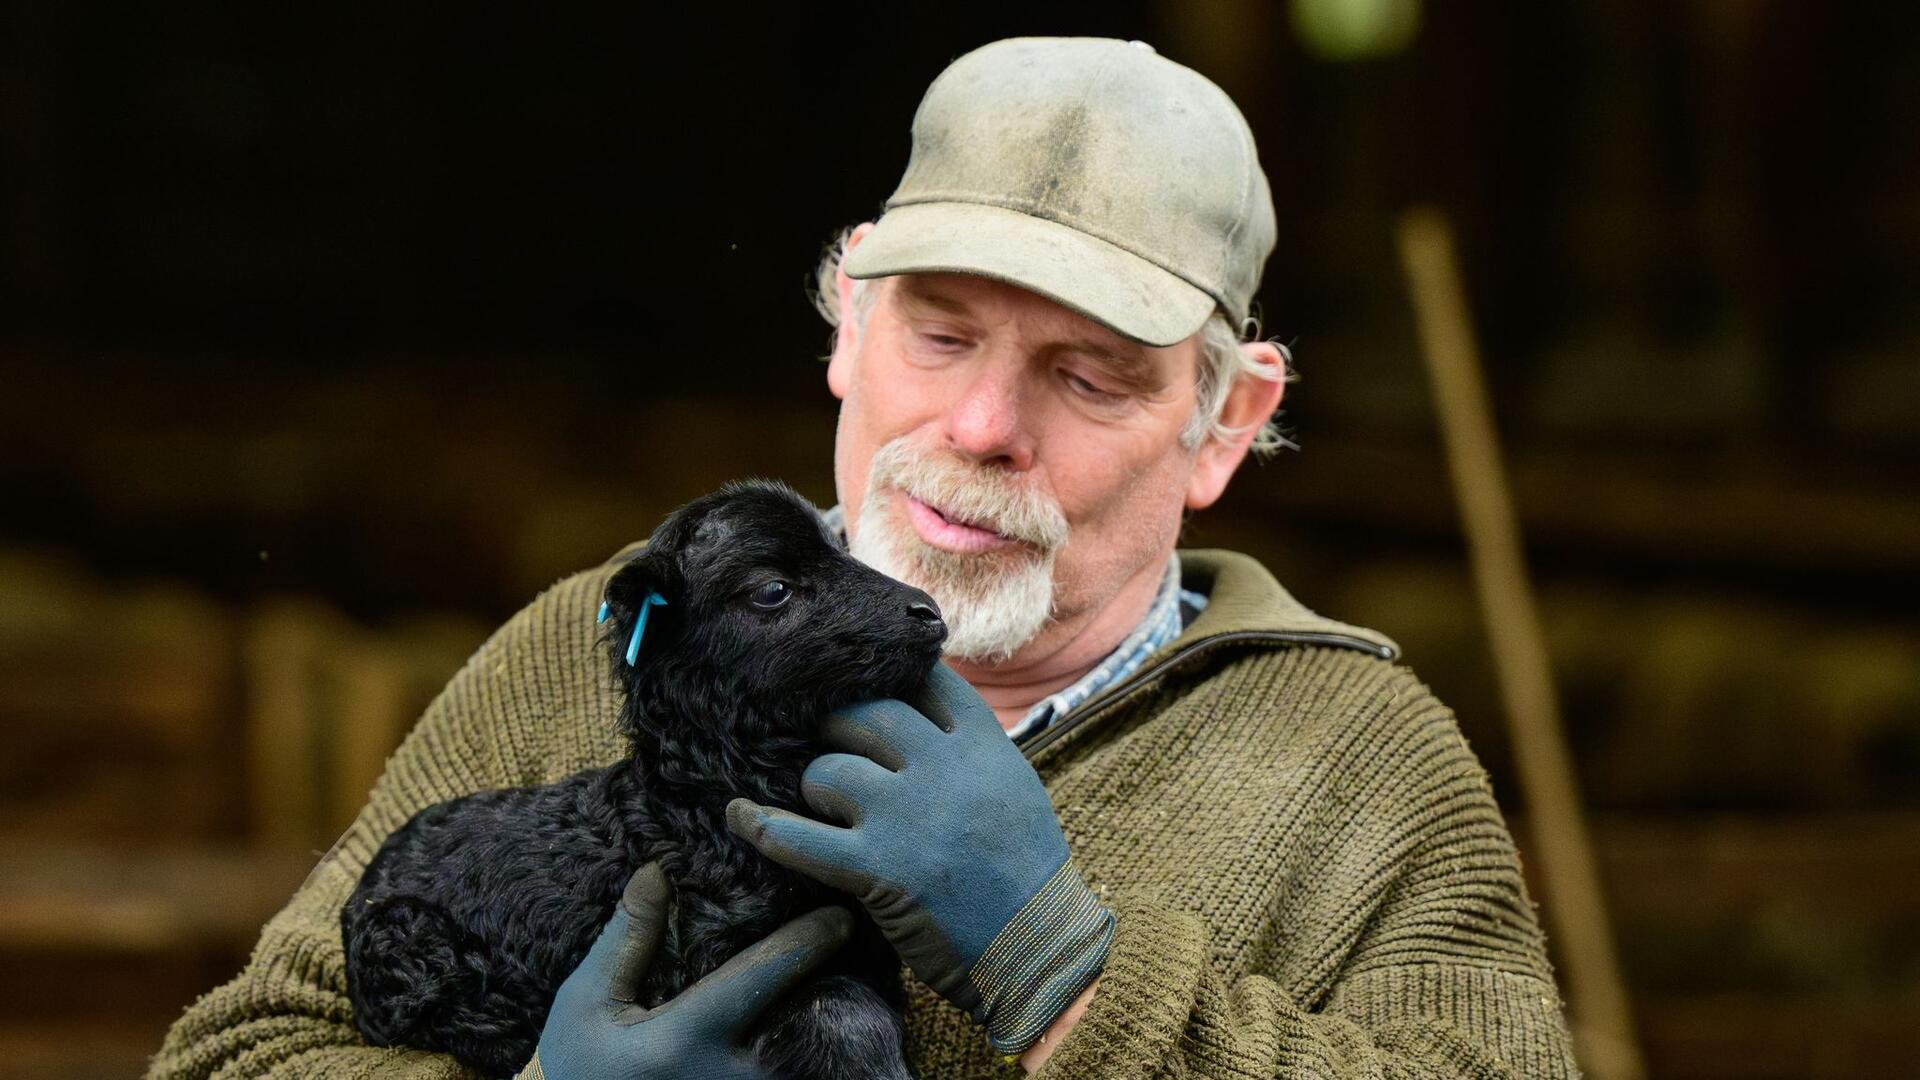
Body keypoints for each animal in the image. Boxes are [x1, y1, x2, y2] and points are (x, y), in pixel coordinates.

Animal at [347, 480, 952, 1076]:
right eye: (772, 590)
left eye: (844, 551)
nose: (930, 612)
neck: (698, 807)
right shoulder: (714, 963)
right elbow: (840, 1010)